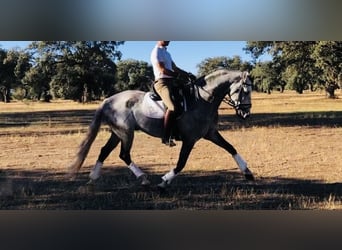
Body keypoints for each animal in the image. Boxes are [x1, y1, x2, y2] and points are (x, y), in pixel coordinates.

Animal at [68, 69, 254, 188]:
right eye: (244, 90)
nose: (245, 113)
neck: (202, 100)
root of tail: (108, 100)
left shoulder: (211, 133)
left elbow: (231, 148)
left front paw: (248, 173)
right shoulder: (190, 139)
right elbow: (181, 163)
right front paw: (165, 181)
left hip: (117, 133)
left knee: (104, 151)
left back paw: (93, 177)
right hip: (126, 133)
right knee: (124, 155)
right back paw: (143, 177)